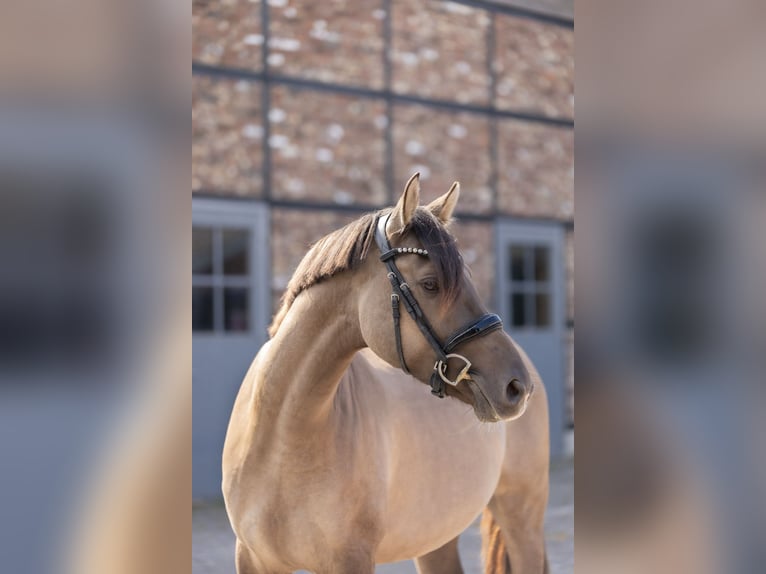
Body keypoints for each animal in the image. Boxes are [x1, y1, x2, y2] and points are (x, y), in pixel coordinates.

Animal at [222, 173, 550, 573]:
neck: (281, 443)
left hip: (522, 516)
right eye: (430, 284)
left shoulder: (352, 560)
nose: (517, 386)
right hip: (435, 536)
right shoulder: (252, 559)